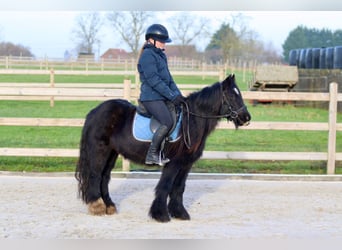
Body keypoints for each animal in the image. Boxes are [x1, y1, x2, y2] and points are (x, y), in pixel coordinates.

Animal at [75, 73, 251, 222]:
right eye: (231, 95)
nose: (246, 118)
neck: (191, 121)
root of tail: (94, 111)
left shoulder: (186, 163)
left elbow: (179, 187)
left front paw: (179, 213)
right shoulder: (172, 163)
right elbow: (165, 186)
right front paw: (161, 214)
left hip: (112, 153)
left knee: (104, 177)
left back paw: (109, 206)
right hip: (100, 150)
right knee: (95, 175)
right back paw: (97, 206)